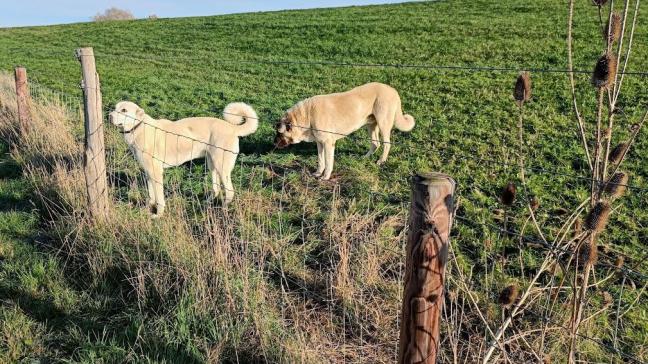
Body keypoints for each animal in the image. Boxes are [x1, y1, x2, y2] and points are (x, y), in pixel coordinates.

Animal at [109, 101, 258, 216]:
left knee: (230, 191)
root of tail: (232, 127)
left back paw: (224, 209)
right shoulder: (148, 172)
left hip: (221, 166)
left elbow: (159, 199)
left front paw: (158, 215)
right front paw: (147, 209)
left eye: (124, 110)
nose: (109, 116)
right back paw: (206, 203)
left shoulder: (156, 173)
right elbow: (151, 195)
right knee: (216, 189)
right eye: (115, 108)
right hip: (212, 164)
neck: (138, 127)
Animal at [274, 82, 416, 180]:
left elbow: (328, 162)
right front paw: (318, 173)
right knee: (376, 143)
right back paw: (365, 158)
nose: (273, 142)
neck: (308, 116)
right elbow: (321, 160)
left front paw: (325, 177)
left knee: (386, 144)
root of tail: (392, 90)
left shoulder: (328, 144)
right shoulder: (320, 143)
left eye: (279, 133)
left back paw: (381, 161)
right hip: (371, 125)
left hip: (383, 124)